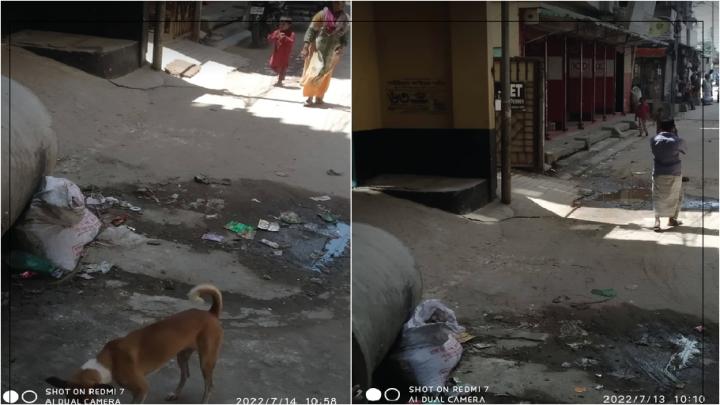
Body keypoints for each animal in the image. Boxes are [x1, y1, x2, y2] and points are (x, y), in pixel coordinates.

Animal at [47, 282, 222, 402]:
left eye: (88, 402)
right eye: (69, 401)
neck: (110, 361)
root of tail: (211, 313)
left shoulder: (141, 389)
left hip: (206, 359)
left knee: (209, 385)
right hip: (182, 355)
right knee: (186, 374)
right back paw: (175, 394)